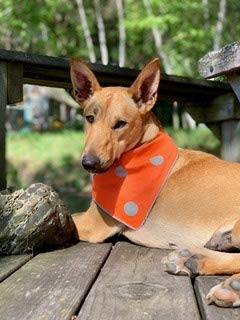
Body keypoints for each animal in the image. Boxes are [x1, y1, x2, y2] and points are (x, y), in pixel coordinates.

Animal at [69, 57, 240, 308]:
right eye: (90, 118)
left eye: (120, 124)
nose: (89, 163)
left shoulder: (93, 224)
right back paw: (194, 258)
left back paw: (229, 285)